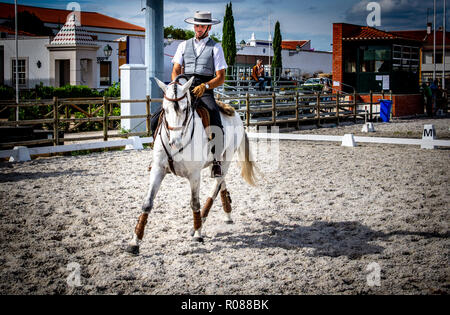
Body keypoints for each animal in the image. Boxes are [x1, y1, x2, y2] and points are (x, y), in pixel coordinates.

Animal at [126, 75, 258, 256]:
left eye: (185, 108)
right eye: (165, 109)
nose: (175, 142)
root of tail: (234, 112)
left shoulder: (194, 174)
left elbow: (195, 202)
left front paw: (198, 234)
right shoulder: (158, 170)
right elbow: (147, 203)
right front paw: (135, 242)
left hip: (226, 159)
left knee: (216, 186)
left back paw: (201, 221)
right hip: (216, 163)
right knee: (220, 182)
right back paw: (227, 213)